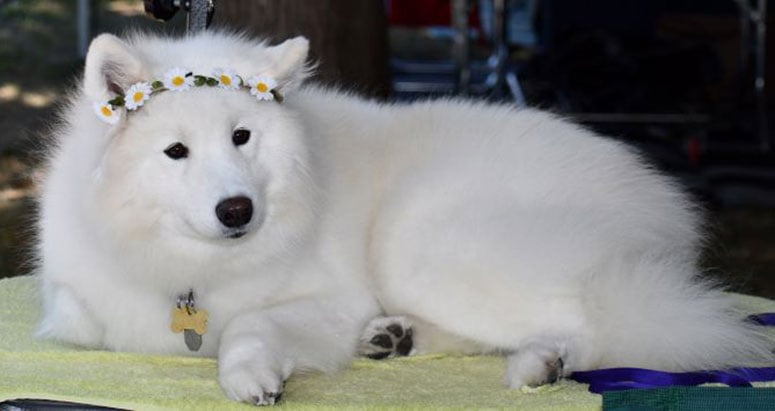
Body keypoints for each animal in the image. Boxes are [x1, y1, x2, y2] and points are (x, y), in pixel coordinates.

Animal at [34, 32, 768, 406]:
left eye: (242, 137)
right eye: (176, 151)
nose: (238, 209)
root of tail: (660, 202)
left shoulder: (331, 296)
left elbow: (249, 323)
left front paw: (249, 373)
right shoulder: (77, 308)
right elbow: (80, 318)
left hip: (422, 244)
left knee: (598, 322)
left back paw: (540, 364)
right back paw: (395, 337)